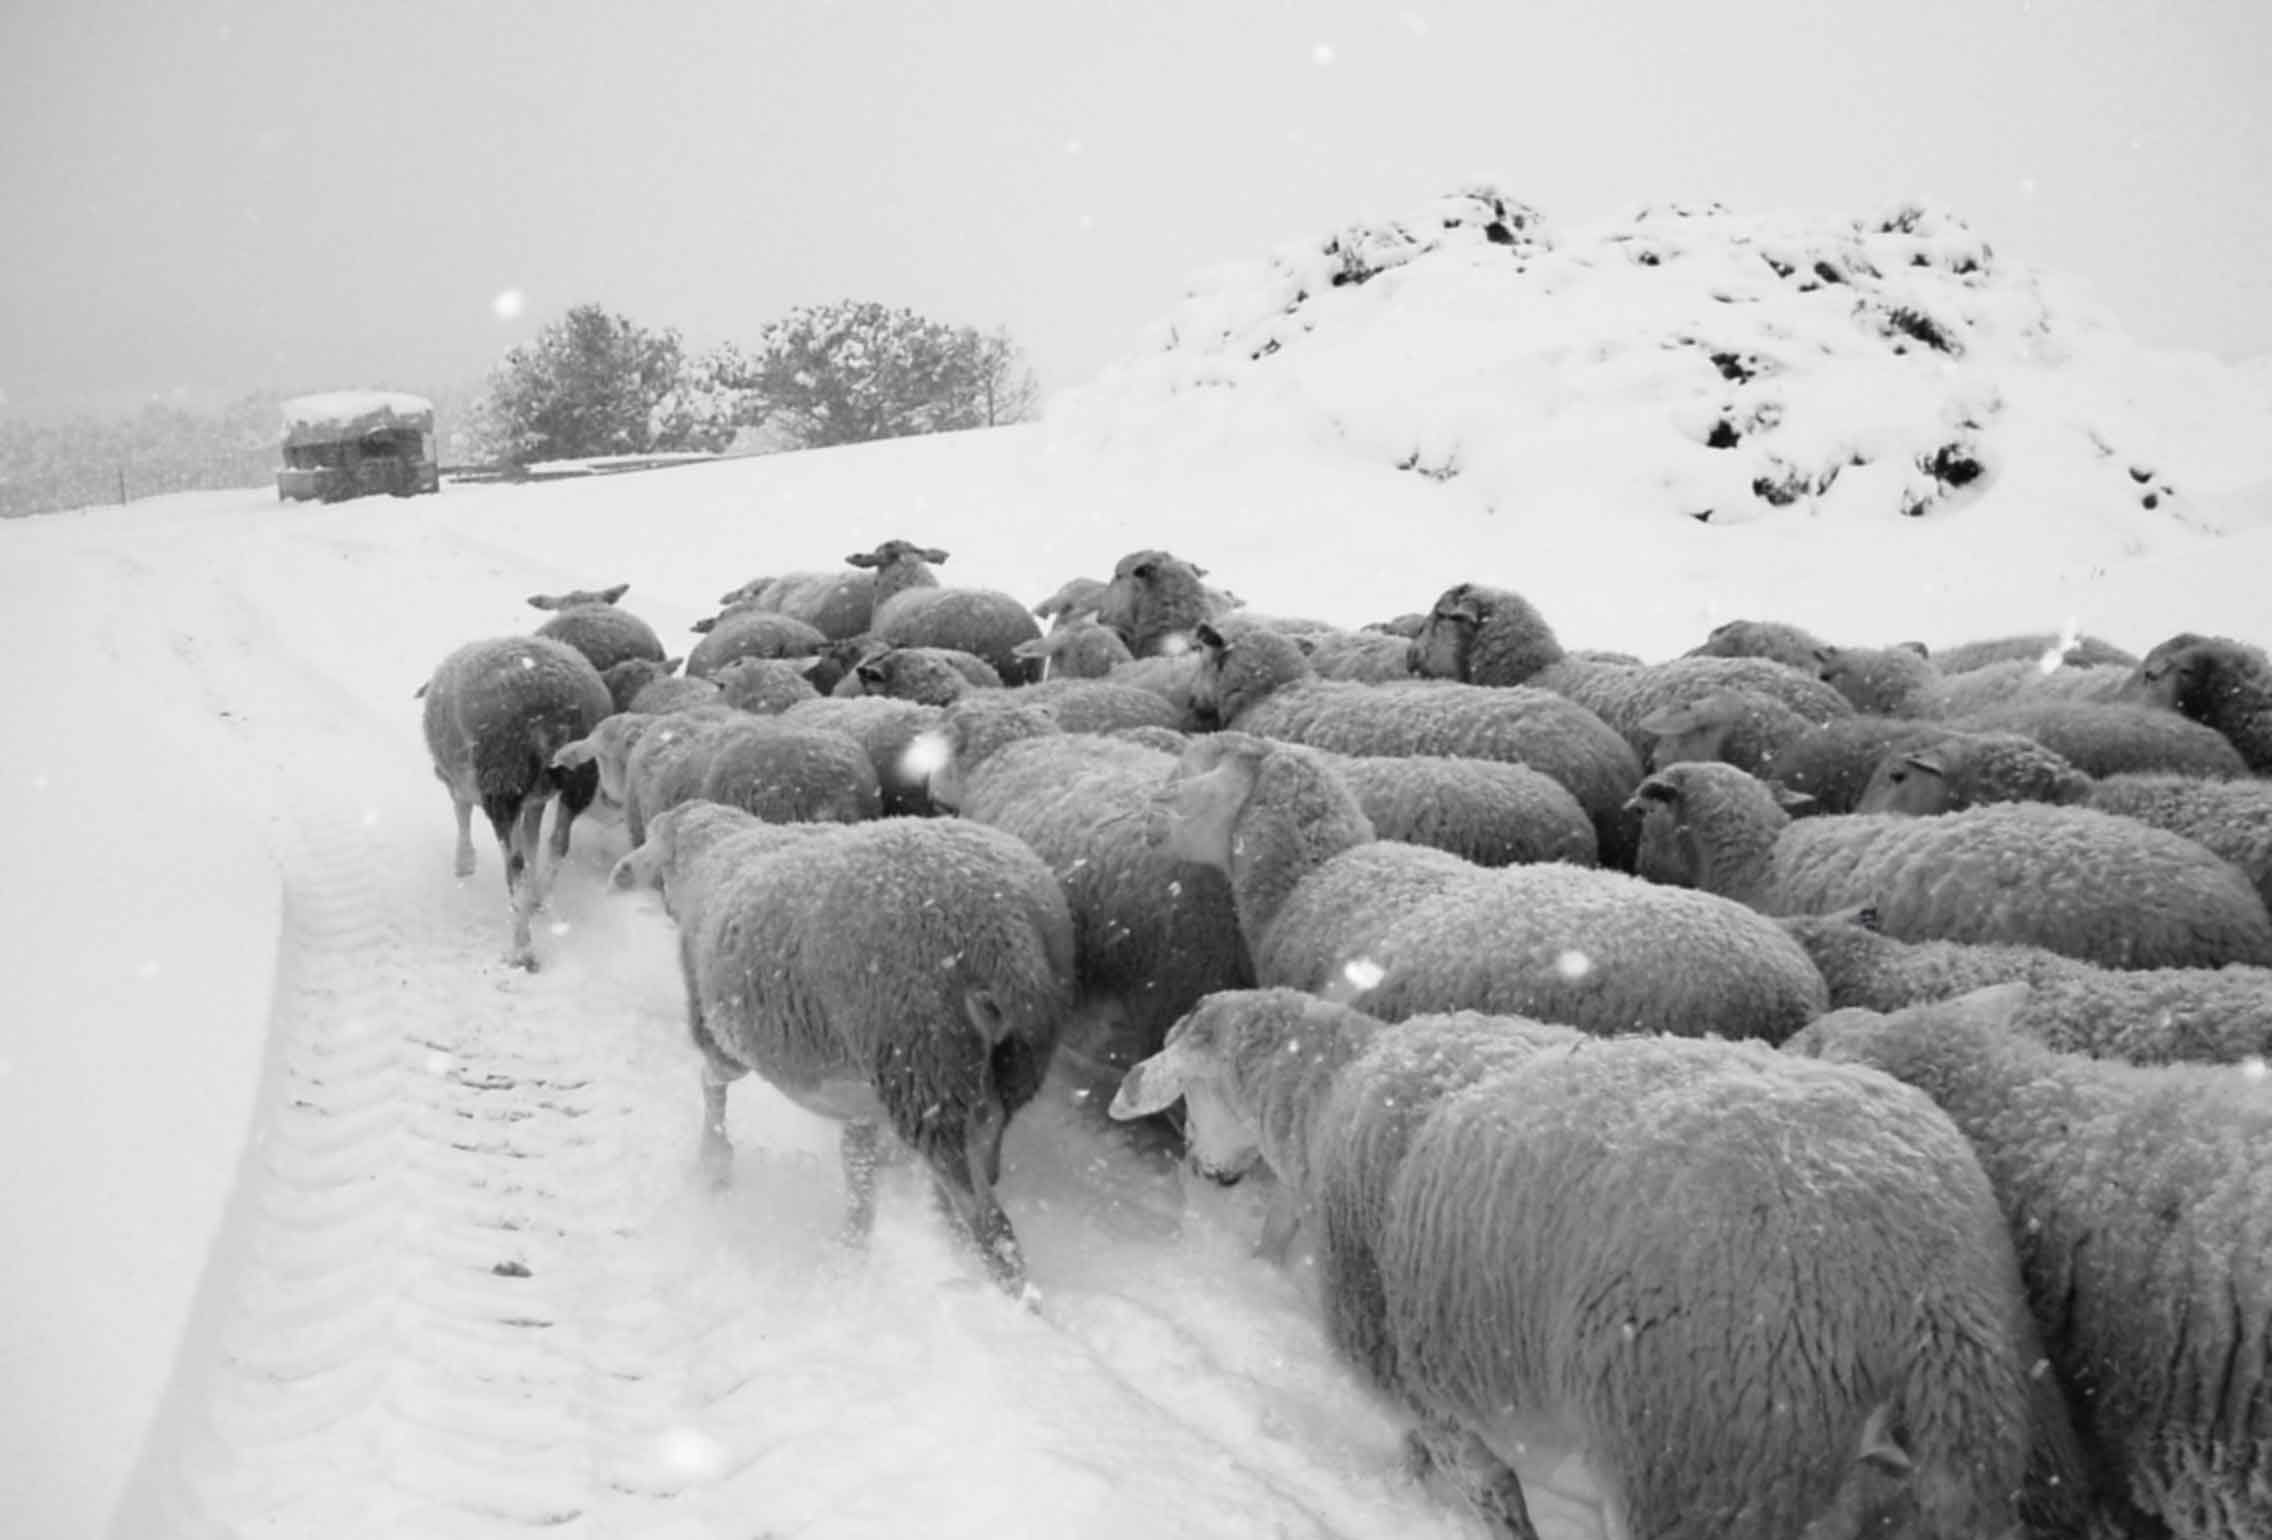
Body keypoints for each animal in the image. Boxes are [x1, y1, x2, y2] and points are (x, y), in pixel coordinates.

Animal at [419, 635, 615, 969]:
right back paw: (540, 898)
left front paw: (464, 863)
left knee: (515, 866)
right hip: (581, 778)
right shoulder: (536, 800)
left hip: (503, 781)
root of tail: (554, 714)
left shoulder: (460, 783)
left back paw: (522, 947)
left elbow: (462, 815)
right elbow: (532, 837)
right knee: (558, 843)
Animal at [611, 801, 1076, 1297]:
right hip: (997, 1073)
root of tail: (1007, 934)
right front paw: (853, 1249)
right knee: (979, 1174)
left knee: (993, 1227)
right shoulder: (857, 1093)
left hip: (920, 1067)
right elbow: (858, 1167)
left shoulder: (722, 1030)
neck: (718, 846)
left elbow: (712, 1085)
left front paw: (714, 1162)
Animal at [1110, 988, 2090, 1540]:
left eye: (1190, 1095)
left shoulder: (1409, 1365)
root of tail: (1917, 1275)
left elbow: (1487, 1486)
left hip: (1708, 1458)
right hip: (1933, 1458)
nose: (1202, 1170)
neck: (1324, 1095)